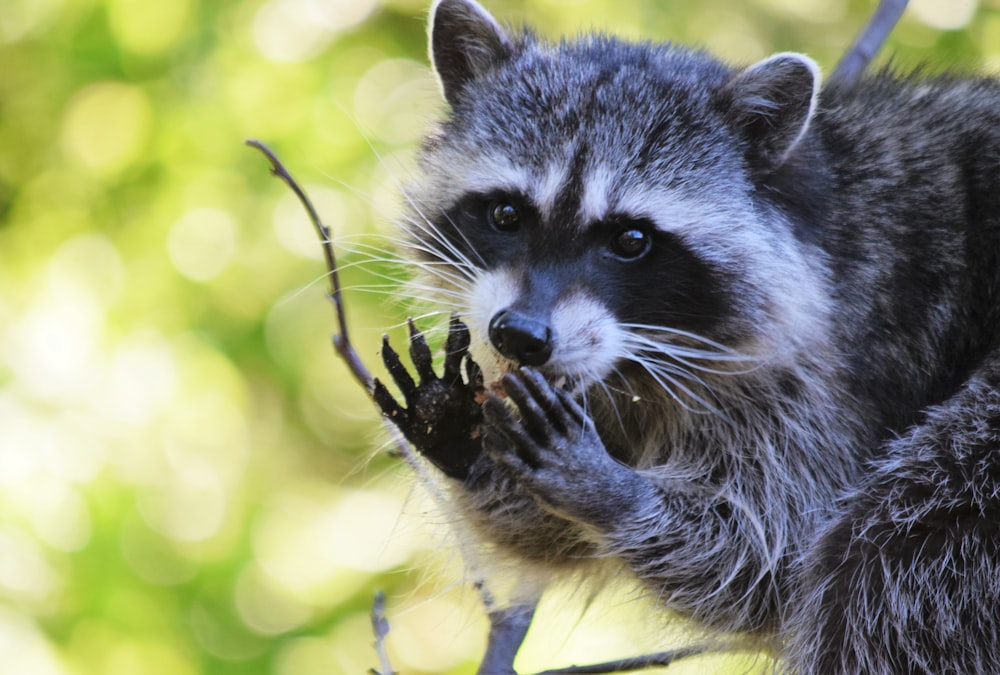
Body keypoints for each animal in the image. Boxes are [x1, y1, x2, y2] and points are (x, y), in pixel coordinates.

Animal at [370, 0, 1000, 672]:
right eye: (506, 214)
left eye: (631, 241)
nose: (519, 335)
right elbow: (557, 534)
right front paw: (459, 437)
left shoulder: (825, 378)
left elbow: (770, 558)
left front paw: (616, 493)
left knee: (885, 560)